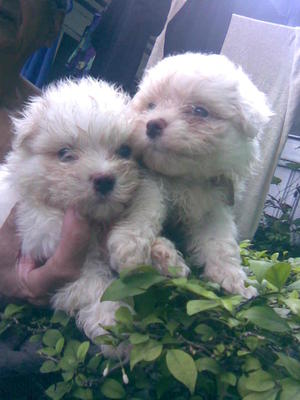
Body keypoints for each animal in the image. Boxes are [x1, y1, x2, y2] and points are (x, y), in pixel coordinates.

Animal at [0, 78, 177, 344]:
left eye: (124, 151)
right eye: (65, 154)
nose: (104, 180)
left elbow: (146, 209)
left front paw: (160, 256)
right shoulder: (43, 239)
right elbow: (93, 284)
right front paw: (114, 325)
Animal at [130, 52, 274, 296]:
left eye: (199, 111)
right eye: (151, 105)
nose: (152, 125)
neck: (187, 180)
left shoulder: (215, 208)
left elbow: (220, 242)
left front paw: (232, 279)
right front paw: (165, 256)